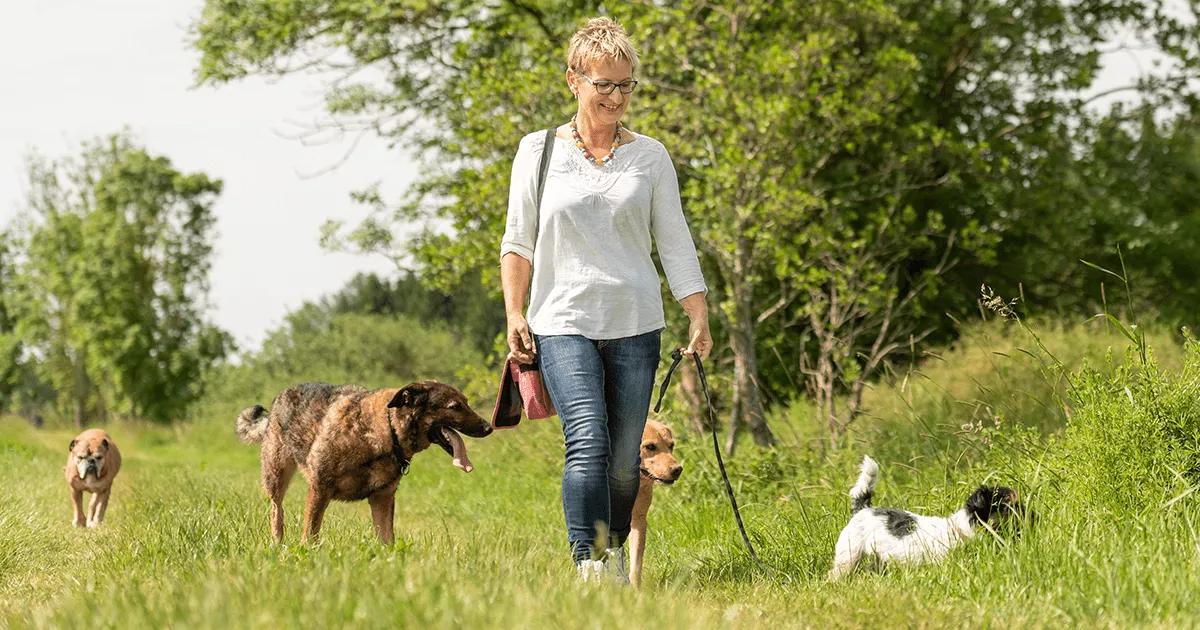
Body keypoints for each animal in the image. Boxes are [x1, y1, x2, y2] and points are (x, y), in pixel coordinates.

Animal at [236, 381, 489, 542]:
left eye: (466, 402)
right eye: (455, 407)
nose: (489, 427)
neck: (386, 429)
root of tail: (279, 398)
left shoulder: (382, 499)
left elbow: (387, 540)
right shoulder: (319, 489)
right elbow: (310, 535)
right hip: (276, 476)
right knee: (276, 512)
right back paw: (277, 545)